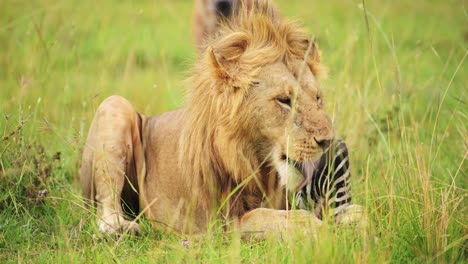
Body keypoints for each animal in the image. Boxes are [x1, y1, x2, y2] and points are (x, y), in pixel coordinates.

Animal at [81, 0, 362, 239]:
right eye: (284, 100)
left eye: (317, 99)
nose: (328, 142)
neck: (257, 160)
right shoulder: (220, 223)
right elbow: (269, 216)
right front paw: (318, 226)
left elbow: (356, 211)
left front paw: (347, 217)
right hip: (114, 105)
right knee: (105, 207)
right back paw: (120, 228)